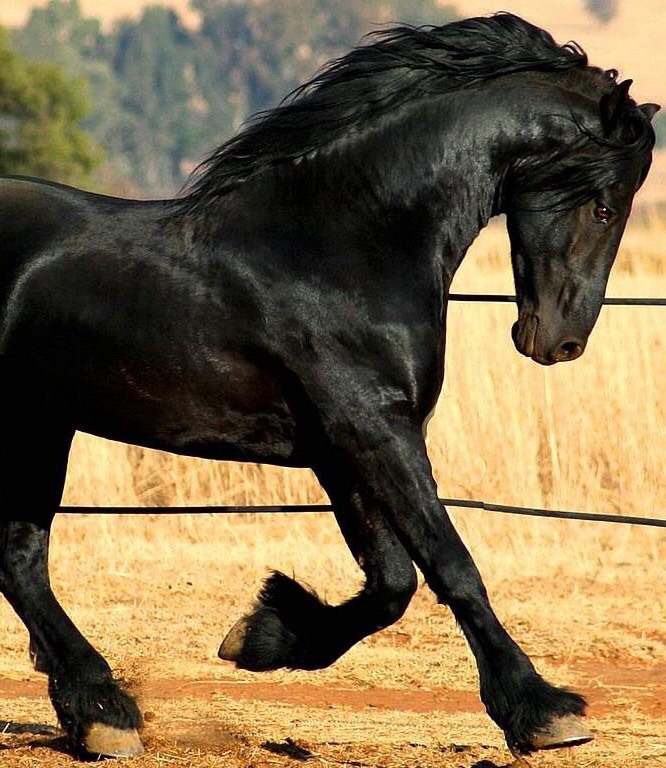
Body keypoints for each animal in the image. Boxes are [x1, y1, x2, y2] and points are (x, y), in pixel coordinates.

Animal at [0, 12, 658, 760]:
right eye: (604, 207)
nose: (559, 342)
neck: (342, 246)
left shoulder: (342, 451)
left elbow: (393, 582)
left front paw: (262, 635)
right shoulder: (372, 431)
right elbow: (451, 564)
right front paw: (544, 712)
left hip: (41, 422)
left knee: (21, 560)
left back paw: (98, 713)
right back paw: (104, 708)